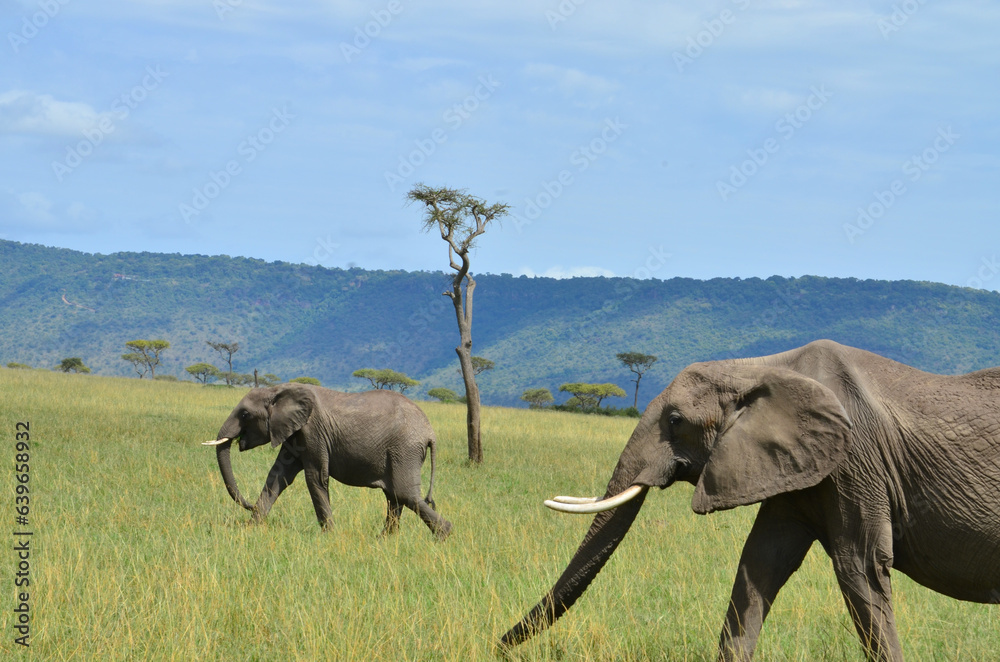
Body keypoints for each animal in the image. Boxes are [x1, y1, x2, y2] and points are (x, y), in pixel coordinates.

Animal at [202, 383, 452, 540]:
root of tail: (430, 433)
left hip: (405, 449)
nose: (248, 504)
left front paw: (328, 535)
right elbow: (278, 476)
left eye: (245, 415)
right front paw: (250, 528)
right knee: (394, 497)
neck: (278, 390)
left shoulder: (313, 431)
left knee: (402, 493)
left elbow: (315, 478)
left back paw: (443, 535)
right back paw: (383, 539)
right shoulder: (294, 432)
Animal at [501, 340, 1000, 661]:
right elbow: (760, 562)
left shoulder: (857, 461)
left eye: (676, 421)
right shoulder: (792, 464)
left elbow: (859, 565)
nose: (497, 644)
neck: (759, 367)